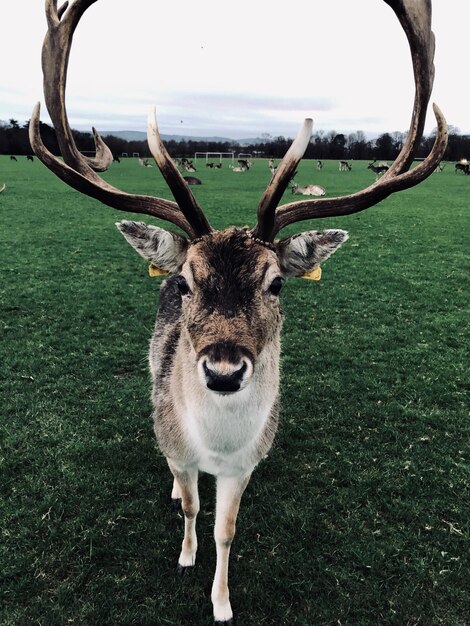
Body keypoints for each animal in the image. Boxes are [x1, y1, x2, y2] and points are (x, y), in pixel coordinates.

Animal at [30, 0, 448, 620]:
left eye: (276, 284)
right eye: (186, 282)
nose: (224, 371)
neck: (216, 447)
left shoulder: (246, 463)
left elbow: (226, 530)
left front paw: (222, 602)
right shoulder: (178, 444)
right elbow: (190, 508)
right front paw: (185, 555)